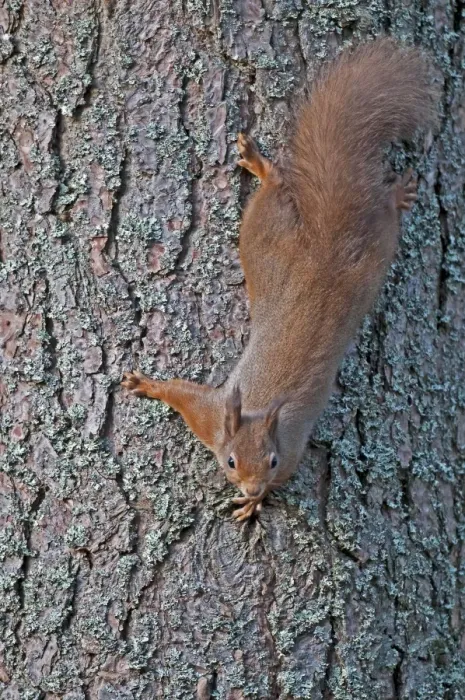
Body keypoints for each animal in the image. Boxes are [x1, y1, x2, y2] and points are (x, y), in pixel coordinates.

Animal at [122, 39, 437, 521]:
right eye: (231, 461)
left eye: (270, 461)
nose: (252, 487)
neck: (254, 415)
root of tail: (325, 249)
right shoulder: (212, 416)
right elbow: (182, 395)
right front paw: (148, 385)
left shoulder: (289, 451)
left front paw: (255, 503)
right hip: (282, 240)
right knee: (289, 192)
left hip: (354, 255)